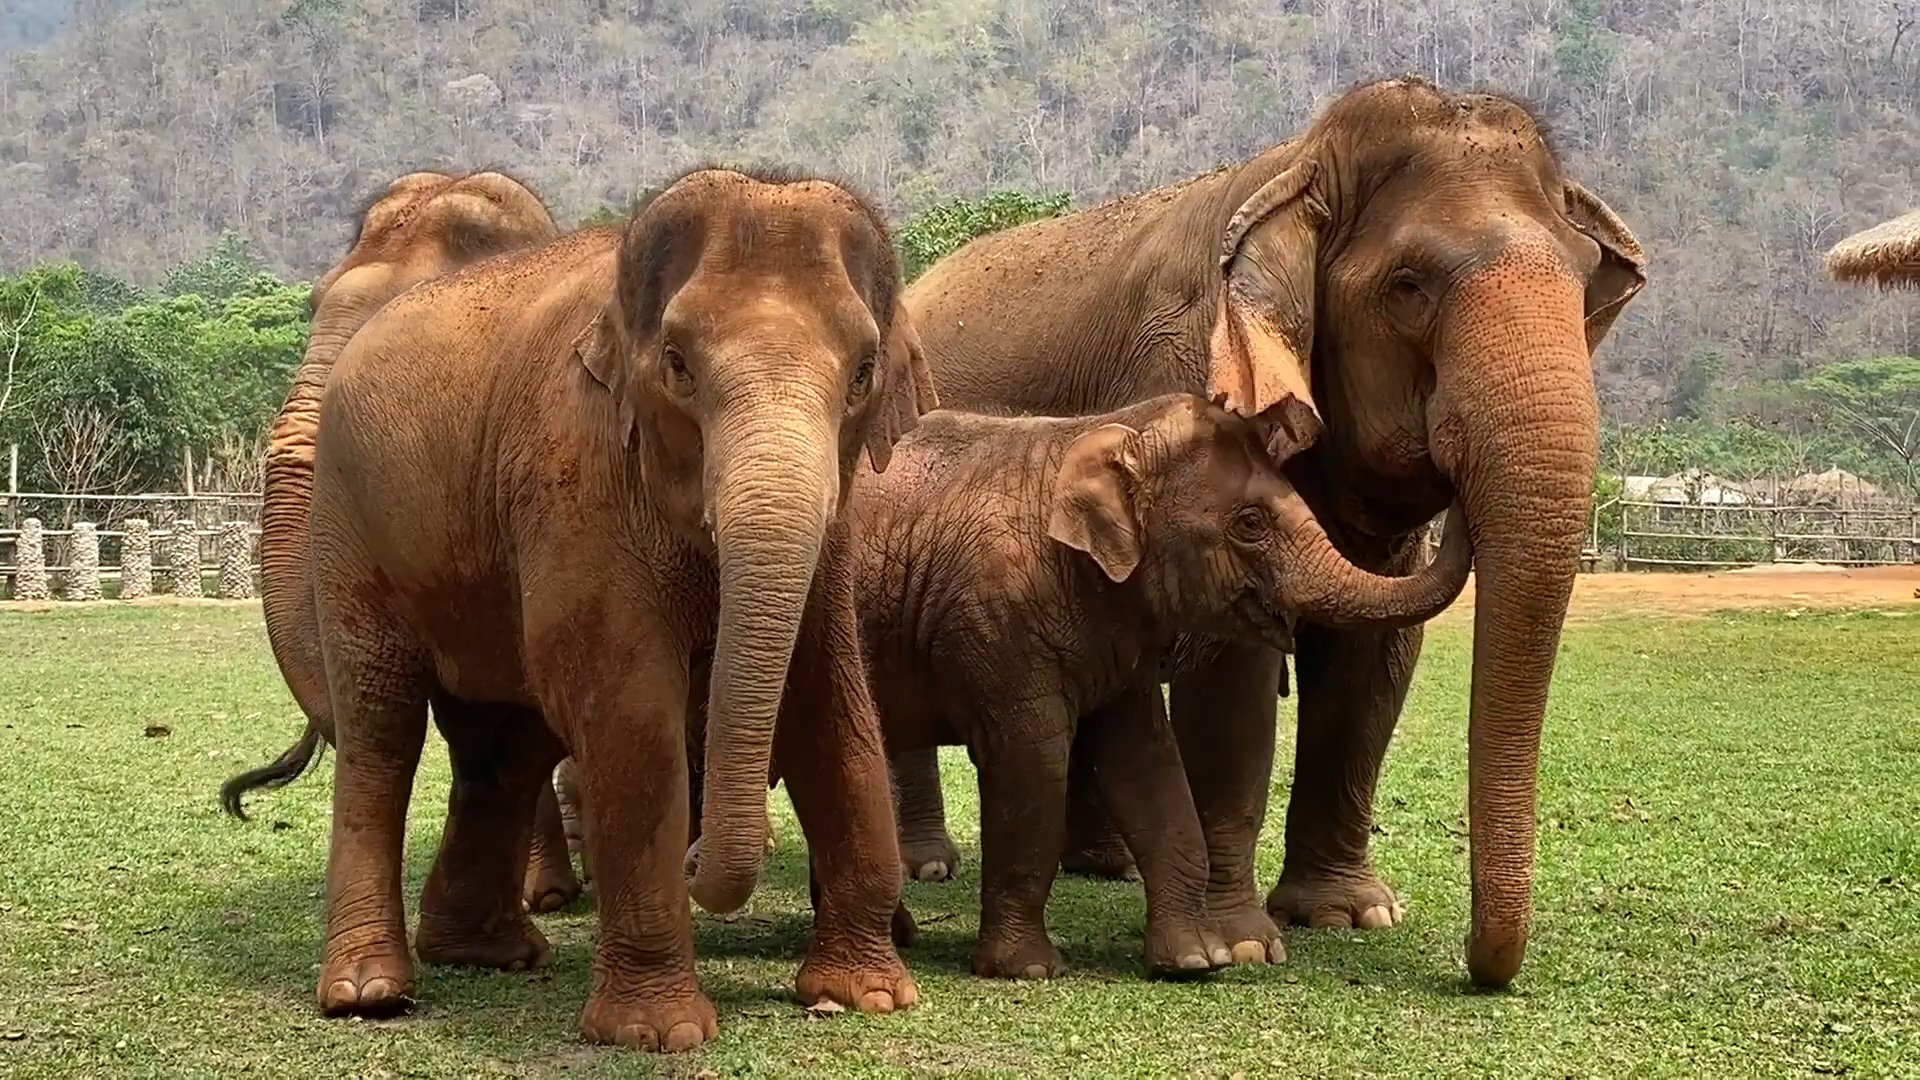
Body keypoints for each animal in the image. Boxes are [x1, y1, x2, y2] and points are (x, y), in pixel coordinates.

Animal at [297, 166, 936, 1050]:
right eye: (677, 364)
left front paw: (865, 995)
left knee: (503, 745)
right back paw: (369, 992)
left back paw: (488, 953)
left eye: (864, 373)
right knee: (380, 730)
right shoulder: (577, 478)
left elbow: (830, 696)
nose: (703, 863)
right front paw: (657, 1033)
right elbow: (628, 713)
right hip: (349, 525)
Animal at [851, 392, 1472, 980]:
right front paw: (1028, 970)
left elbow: (1146, 764)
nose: (1451, 474)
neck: (1097, 434)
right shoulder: (997, 625)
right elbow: (1031, 768)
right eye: (1251, 522)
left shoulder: (1117, 647)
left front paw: (1199, 960)